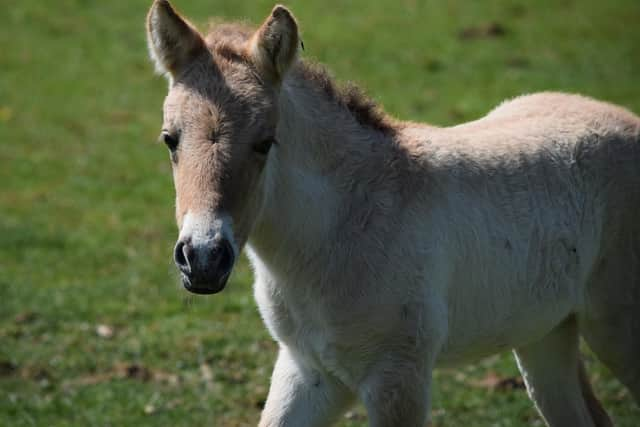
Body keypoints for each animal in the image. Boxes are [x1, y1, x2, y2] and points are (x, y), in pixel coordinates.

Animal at [145, 1, 640, 426]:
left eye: (265, 142)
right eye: (170, 139)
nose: (203, 259)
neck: (338, 232)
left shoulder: (398, 377)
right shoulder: (308, 372)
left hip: (617, 330)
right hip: (545, 334)